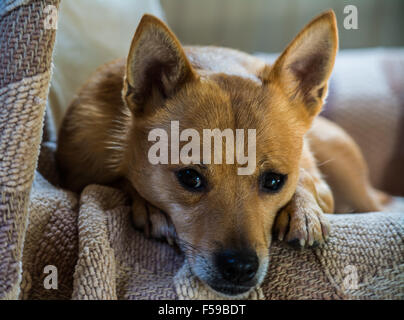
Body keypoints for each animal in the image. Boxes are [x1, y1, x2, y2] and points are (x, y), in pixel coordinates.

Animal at [56, 10, 388, 298]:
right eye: (190, 178)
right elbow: (122, 183)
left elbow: (306, 180)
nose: (240, 268)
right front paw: (149, 207)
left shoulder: (321, 185)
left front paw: (303, 210)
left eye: (274, 181)